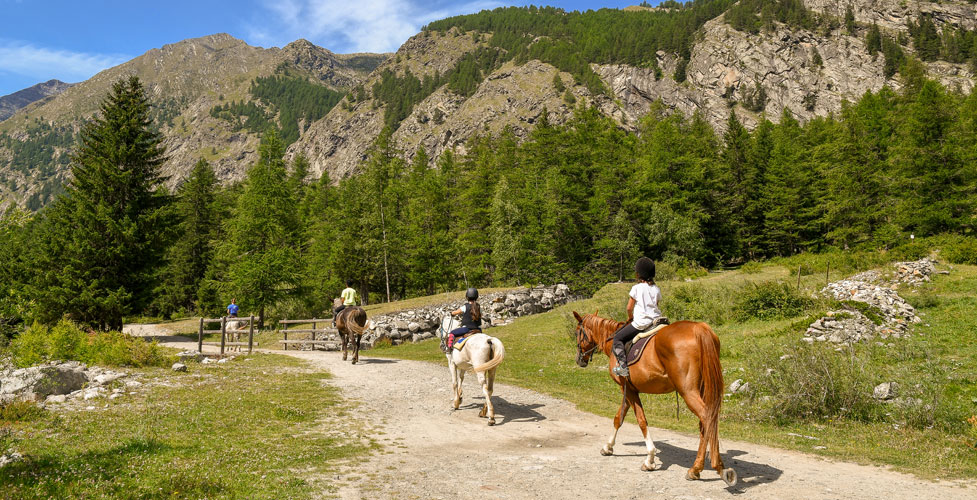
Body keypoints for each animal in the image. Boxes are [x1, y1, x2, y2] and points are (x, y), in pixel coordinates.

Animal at [568, 310, 736, 486]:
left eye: (577, 333)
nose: (579, 359)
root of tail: (699, 328)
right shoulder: (630, 390)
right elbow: (618, 418)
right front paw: (608, 447)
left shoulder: (627, 389)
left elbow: (641, 421)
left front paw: (649, 459)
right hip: (704, 388)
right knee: (707, 421)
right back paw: (705, 467)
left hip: (688, 391)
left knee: (707, 417)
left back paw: (707, 467)